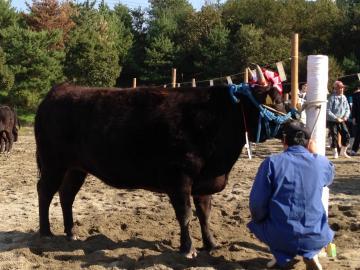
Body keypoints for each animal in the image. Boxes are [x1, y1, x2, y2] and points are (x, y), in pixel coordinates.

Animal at [34, 82, 282, 258]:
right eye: (275, 103)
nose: (292, 126)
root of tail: (59, 90)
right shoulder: (179, 178)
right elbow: (185, 214)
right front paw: (187, 248)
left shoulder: (204, 182)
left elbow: (205, 214)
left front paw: (211, 244)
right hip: (53, 163)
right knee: (45, 191)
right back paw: (46, 233)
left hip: (76, 168)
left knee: (66, 195)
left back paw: (71, 233)